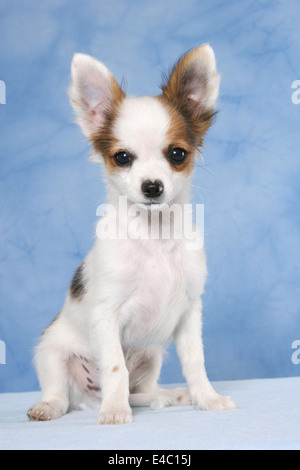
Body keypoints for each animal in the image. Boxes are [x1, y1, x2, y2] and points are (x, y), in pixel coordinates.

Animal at [27, 46, 237, 424]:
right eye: (122, 158)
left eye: (177, 154)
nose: (152, 186)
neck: (154, 237)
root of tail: (88, 398)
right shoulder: (106, 316)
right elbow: (114, 368)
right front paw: (113, 412)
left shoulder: (189, 313)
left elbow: (195, 362)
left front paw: (207, 399)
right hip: (50, 353)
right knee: (62, 395)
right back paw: (52, 406)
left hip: (152, 354)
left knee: (138, 391)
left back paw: (169, 396)